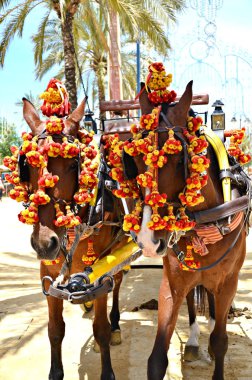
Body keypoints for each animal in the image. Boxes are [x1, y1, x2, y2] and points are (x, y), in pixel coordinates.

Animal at [21, 99, 126, 380]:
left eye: (72, 165)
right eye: (28, 167)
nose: (45, 243)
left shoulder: (100, 273)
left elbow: (100, 330)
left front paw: (107, 372)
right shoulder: (48, 275)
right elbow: (55, 330)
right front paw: (55, 372)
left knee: (118, 285)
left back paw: (115, 324)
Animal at [131, 81, 251, 378]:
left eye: (177, 160)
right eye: (136, 160)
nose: (148, 241)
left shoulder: (228, 282)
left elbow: (220, 341)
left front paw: (215, 345)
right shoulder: (172, 283)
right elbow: (156, 359)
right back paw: (195, 340)